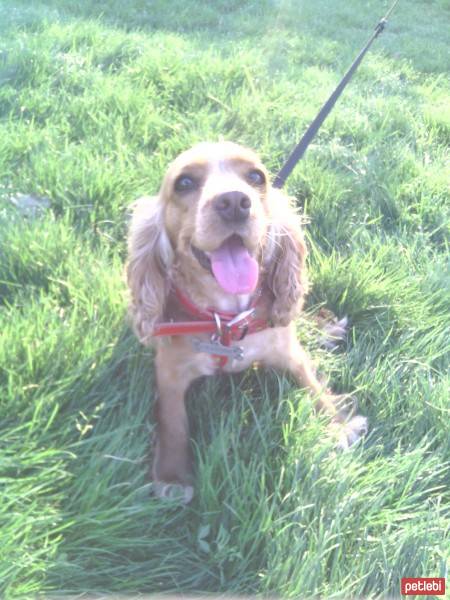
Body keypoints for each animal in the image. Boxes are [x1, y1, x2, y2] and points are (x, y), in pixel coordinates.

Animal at [125, 141, 368, 502]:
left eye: (256, 177)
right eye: (184, 183)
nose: (234, 202)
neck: (227, 319)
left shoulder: (289, 353)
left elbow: (311, 382)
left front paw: (337, 423)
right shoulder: (169, 372)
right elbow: (173, 420)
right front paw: (172, 476)